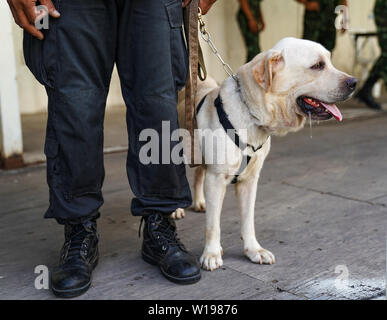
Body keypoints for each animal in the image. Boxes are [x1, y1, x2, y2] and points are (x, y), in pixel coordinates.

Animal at [174, 38, 356, 272]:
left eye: (329, 61)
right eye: (317, 65)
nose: (354, 82)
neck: (251, 117)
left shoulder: (250, 180)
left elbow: (248, 220)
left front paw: (254, 250)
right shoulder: (216, 179)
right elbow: (213, 224)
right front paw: (212, 253)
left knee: (197, 175)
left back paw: (198, 202)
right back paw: (174, 210)